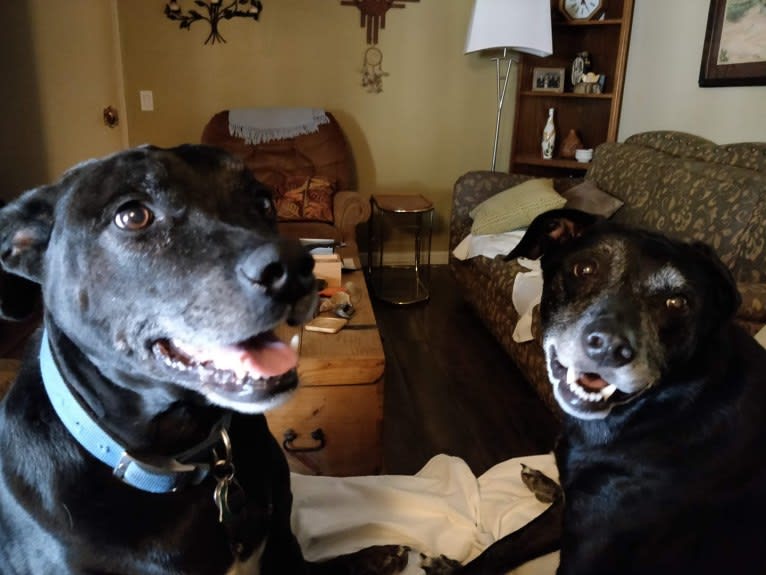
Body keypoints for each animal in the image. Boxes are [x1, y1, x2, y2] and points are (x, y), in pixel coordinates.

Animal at [0, 147, 408, 575]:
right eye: (132, 215)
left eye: (263, 202)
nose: (295, 269)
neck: (188, 450)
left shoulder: (284, 545)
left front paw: (374, 555)